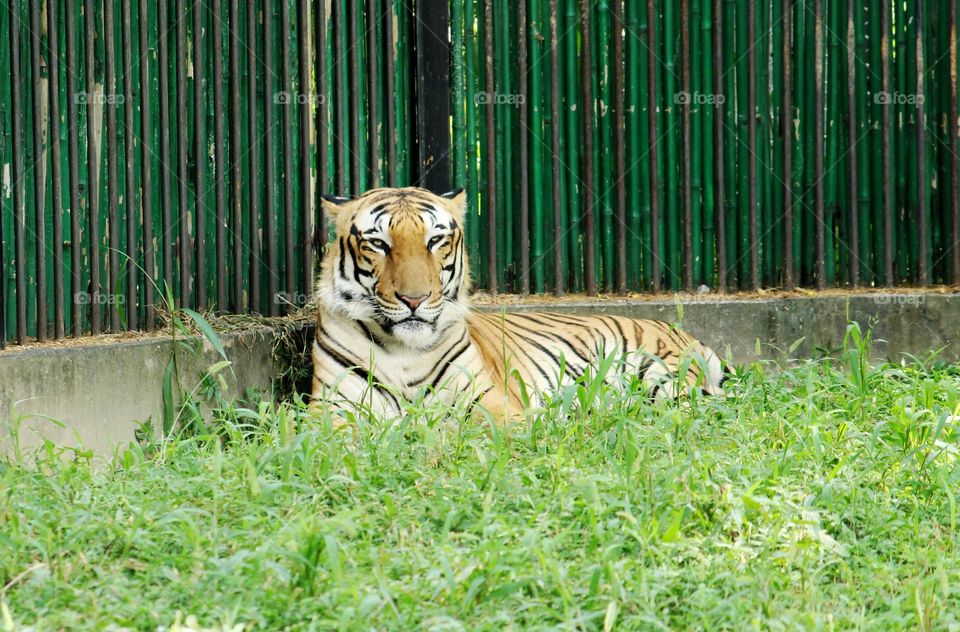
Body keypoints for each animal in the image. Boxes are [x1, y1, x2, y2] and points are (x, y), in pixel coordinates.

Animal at [311, 186, 726, 423]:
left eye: (434, 241)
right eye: (378, 243)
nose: (414, 299)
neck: (404, 350)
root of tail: (678, 329)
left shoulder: (489, 403)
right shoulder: (331, 411)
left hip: (659, 377)